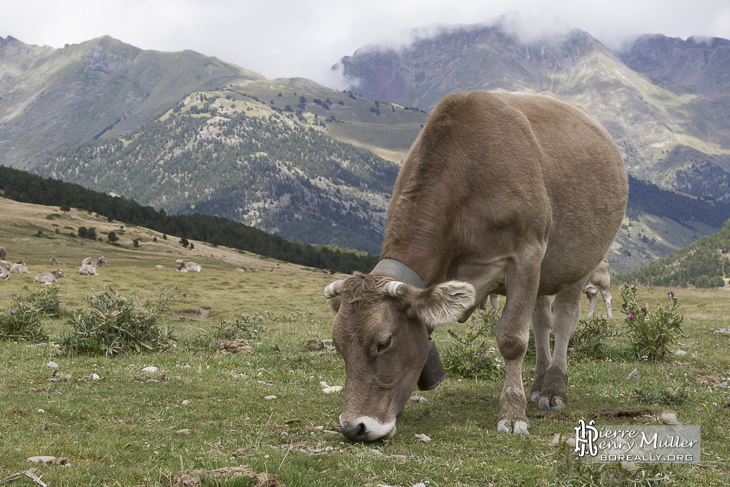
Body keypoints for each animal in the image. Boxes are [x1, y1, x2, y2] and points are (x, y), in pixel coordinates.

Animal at [324, 91, 624, 442]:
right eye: (338, 346)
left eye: (383, 342)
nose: (354, 427)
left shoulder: (526, 254)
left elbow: (512, 339)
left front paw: (512, 414)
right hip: (545, 273)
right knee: (541, 321)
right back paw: (537, 385)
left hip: (578, 264)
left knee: (564, 320)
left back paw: (553, 390)